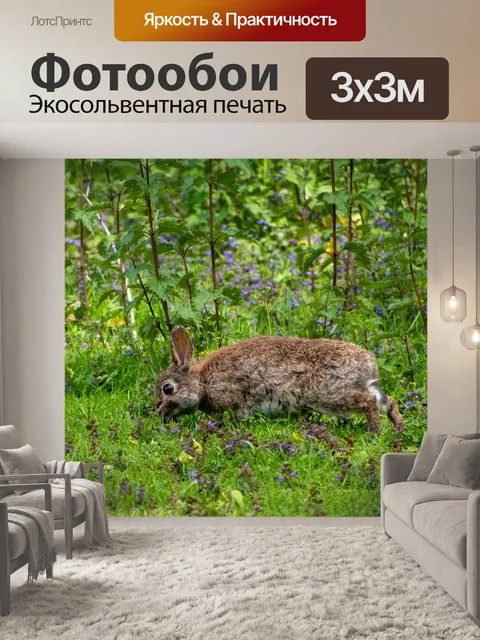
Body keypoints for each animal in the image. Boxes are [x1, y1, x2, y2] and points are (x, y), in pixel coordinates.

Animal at [155, 326, 405, 433]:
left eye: (168, 389)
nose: (160, 415)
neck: (203, 383)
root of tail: (369, 364)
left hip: (329, 394)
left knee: (368, 402)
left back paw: (374, 432)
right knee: (387, 401)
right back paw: (399, 428)